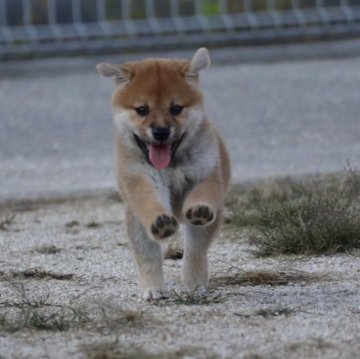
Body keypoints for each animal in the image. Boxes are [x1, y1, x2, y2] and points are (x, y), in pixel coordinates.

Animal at [95, 47, 231, 300]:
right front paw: (160, 221)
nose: (160, 132)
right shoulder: (141, 180)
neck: (171, 165)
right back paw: (153, 288)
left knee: (195, 251)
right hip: (137, 226)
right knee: (149, 257)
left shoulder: (206, 174)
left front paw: (200, 208)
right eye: (142, 110)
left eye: (176, 108)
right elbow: (149, 203)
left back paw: (195, 284)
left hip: (203, 226)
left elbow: (204, 195)